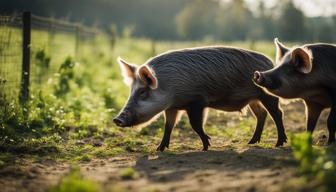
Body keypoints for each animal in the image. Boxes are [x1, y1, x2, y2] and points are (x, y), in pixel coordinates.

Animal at [113, 45, 286, 151]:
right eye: (131, 91)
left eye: (143, 92)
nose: (117, 119)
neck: (168, 87)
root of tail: (270, 62)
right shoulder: (172, 107)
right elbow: (168, 126)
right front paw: (159, 149)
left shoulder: (197, 102)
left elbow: (195, 124)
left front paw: (206, 146)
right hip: (253, 100)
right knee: (261, 114)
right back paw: (251, 142)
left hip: (267, 95)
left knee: (277, 113)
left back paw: (279, 143)